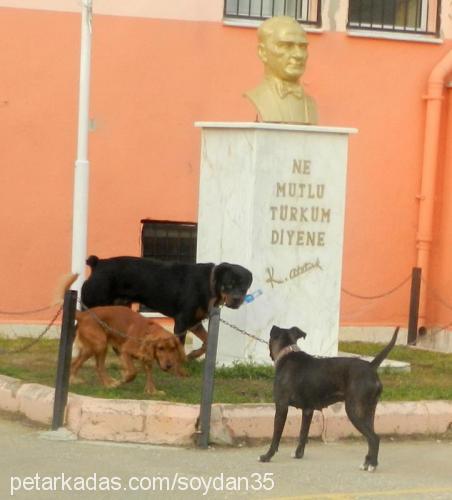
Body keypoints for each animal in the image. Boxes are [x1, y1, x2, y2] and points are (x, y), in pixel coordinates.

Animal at [80, 256, 252, 358]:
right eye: (228, 284)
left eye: (244, 287)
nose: (237, 299)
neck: (209, 283)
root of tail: (98, 263)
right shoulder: (183, 320)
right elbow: (180, 344)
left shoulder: (194, 322)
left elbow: (207, 340)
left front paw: (194, 354)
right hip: (93, 304)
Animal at [260, 326, 400, 470]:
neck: (287, 353)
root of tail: (371, 366)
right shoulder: (308, 410)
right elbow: (303, 434)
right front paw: (298, 454)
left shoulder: (281, 406)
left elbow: (276, 436)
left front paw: (267, 456)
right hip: (368, 411)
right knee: (371, 437)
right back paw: (368, 462)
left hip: (354, 411)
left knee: (374, 438)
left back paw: (372, 465)